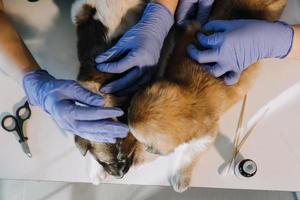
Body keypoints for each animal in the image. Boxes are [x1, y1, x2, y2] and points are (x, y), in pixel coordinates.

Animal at [71, 0, 288, 192]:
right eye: (104, 162)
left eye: (127, 156)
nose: (121, 175)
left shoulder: (205, 136)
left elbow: (188, 156)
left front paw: (179, 176)